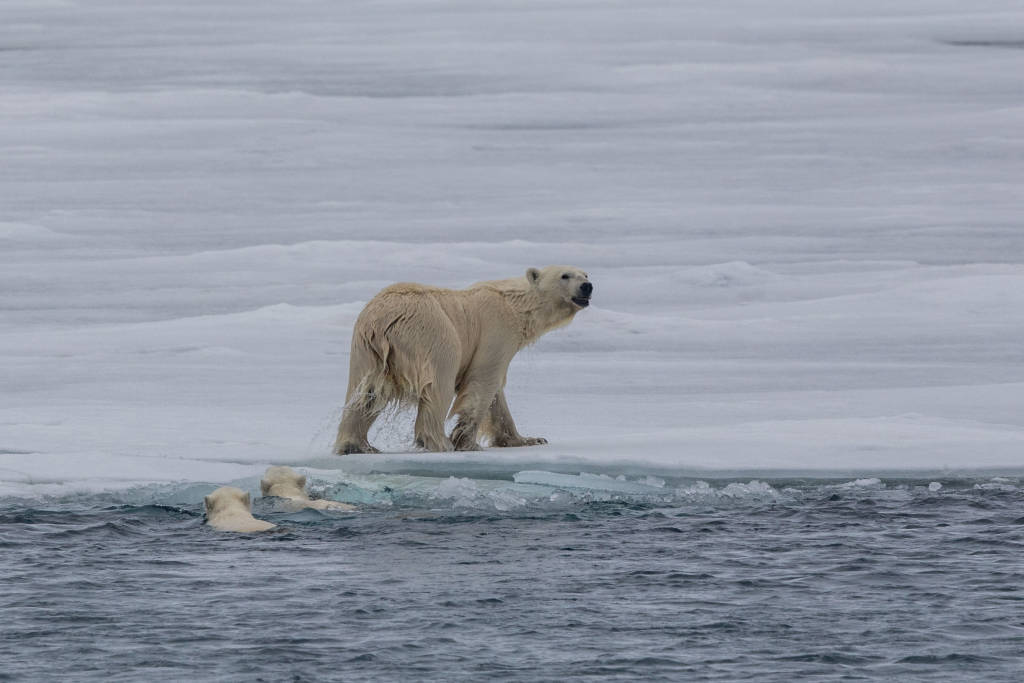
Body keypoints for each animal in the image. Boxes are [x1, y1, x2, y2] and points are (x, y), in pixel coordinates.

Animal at [335, 266, 593, 454]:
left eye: (585, 274)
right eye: (565, 275)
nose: (587, 286)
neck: (515, 306)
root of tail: (383, 320)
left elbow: (497, 397)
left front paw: (529, 439)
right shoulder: (495, 331)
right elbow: (483, 382)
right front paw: (466, 442)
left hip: (365, 348)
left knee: (365, 392)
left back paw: (356, 445)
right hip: (430, 331)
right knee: (439, 383)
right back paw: (439, 442)